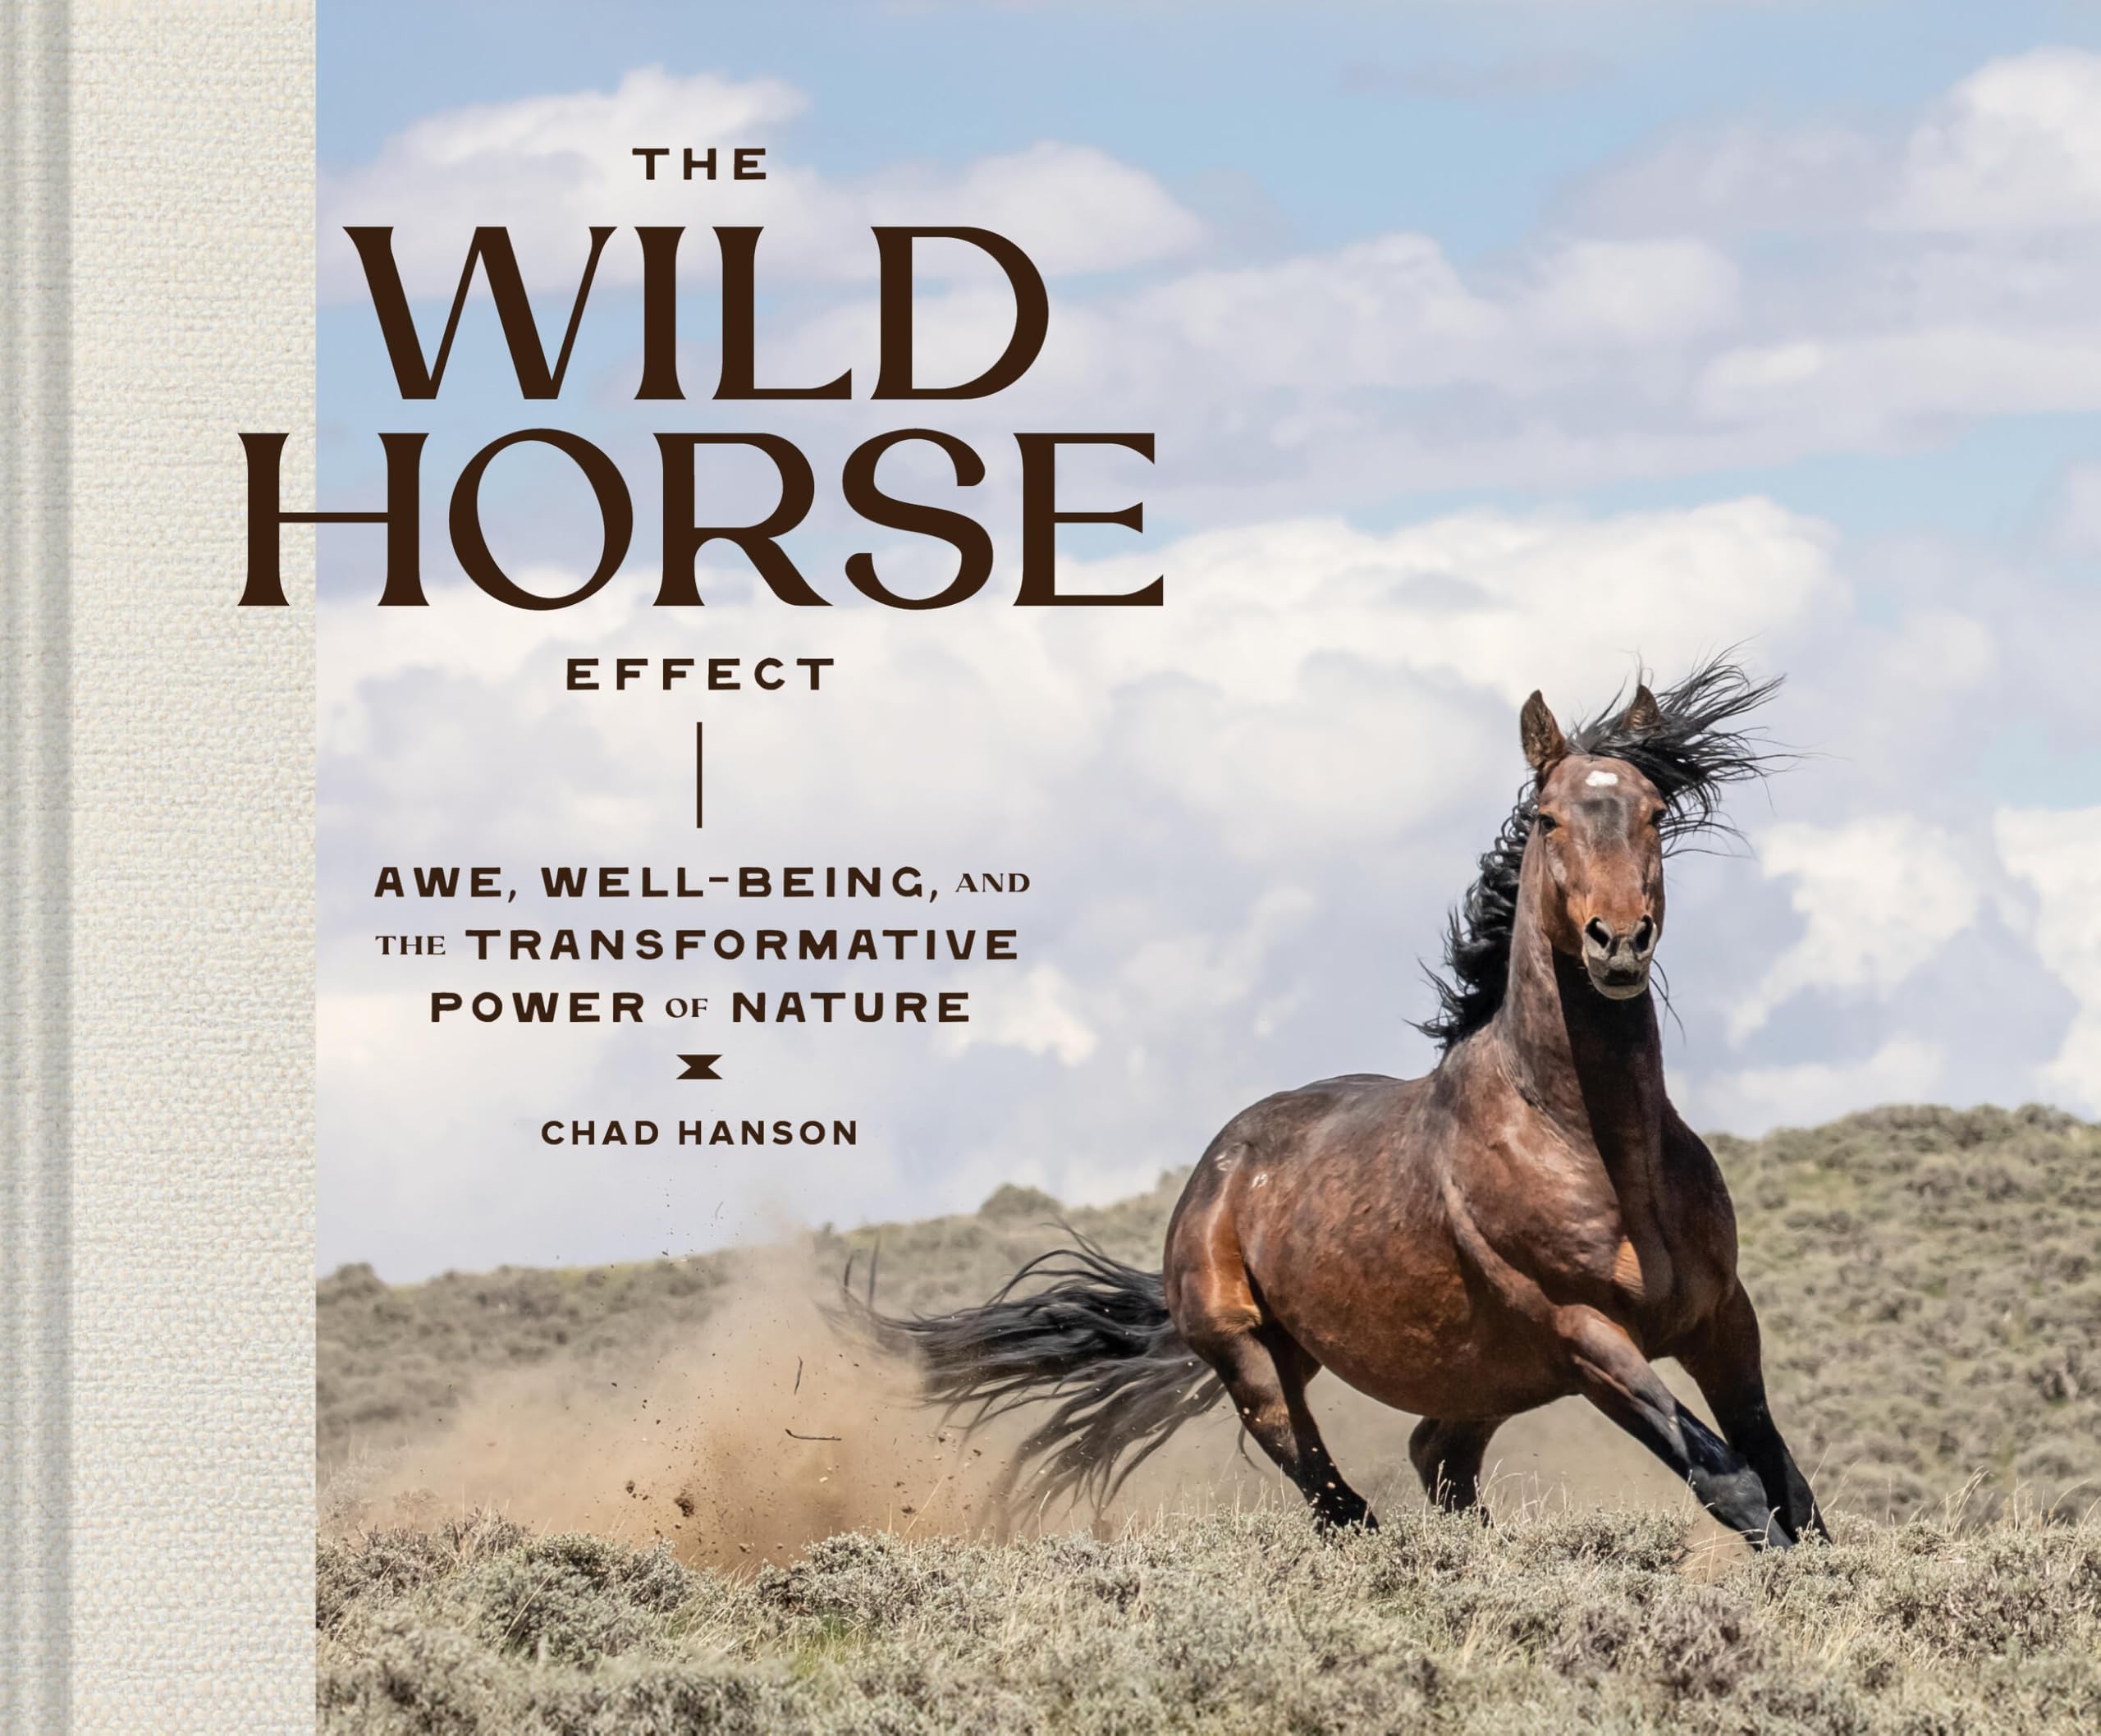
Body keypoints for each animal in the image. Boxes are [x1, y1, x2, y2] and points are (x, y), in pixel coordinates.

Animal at [857, 659, 1826, 1550]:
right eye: (1549, 819)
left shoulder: (1721, 1320)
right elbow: (1735, 1483)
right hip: (1257, 1363)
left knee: (1434, 1458)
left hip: (1488, 1375)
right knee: (1336, 1498)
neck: (1593, 1146)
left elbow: (1790, 1486)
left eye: (1656, 812)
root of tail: (1215, 1171)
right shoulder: (1588, 1336)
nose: (1617, 942)